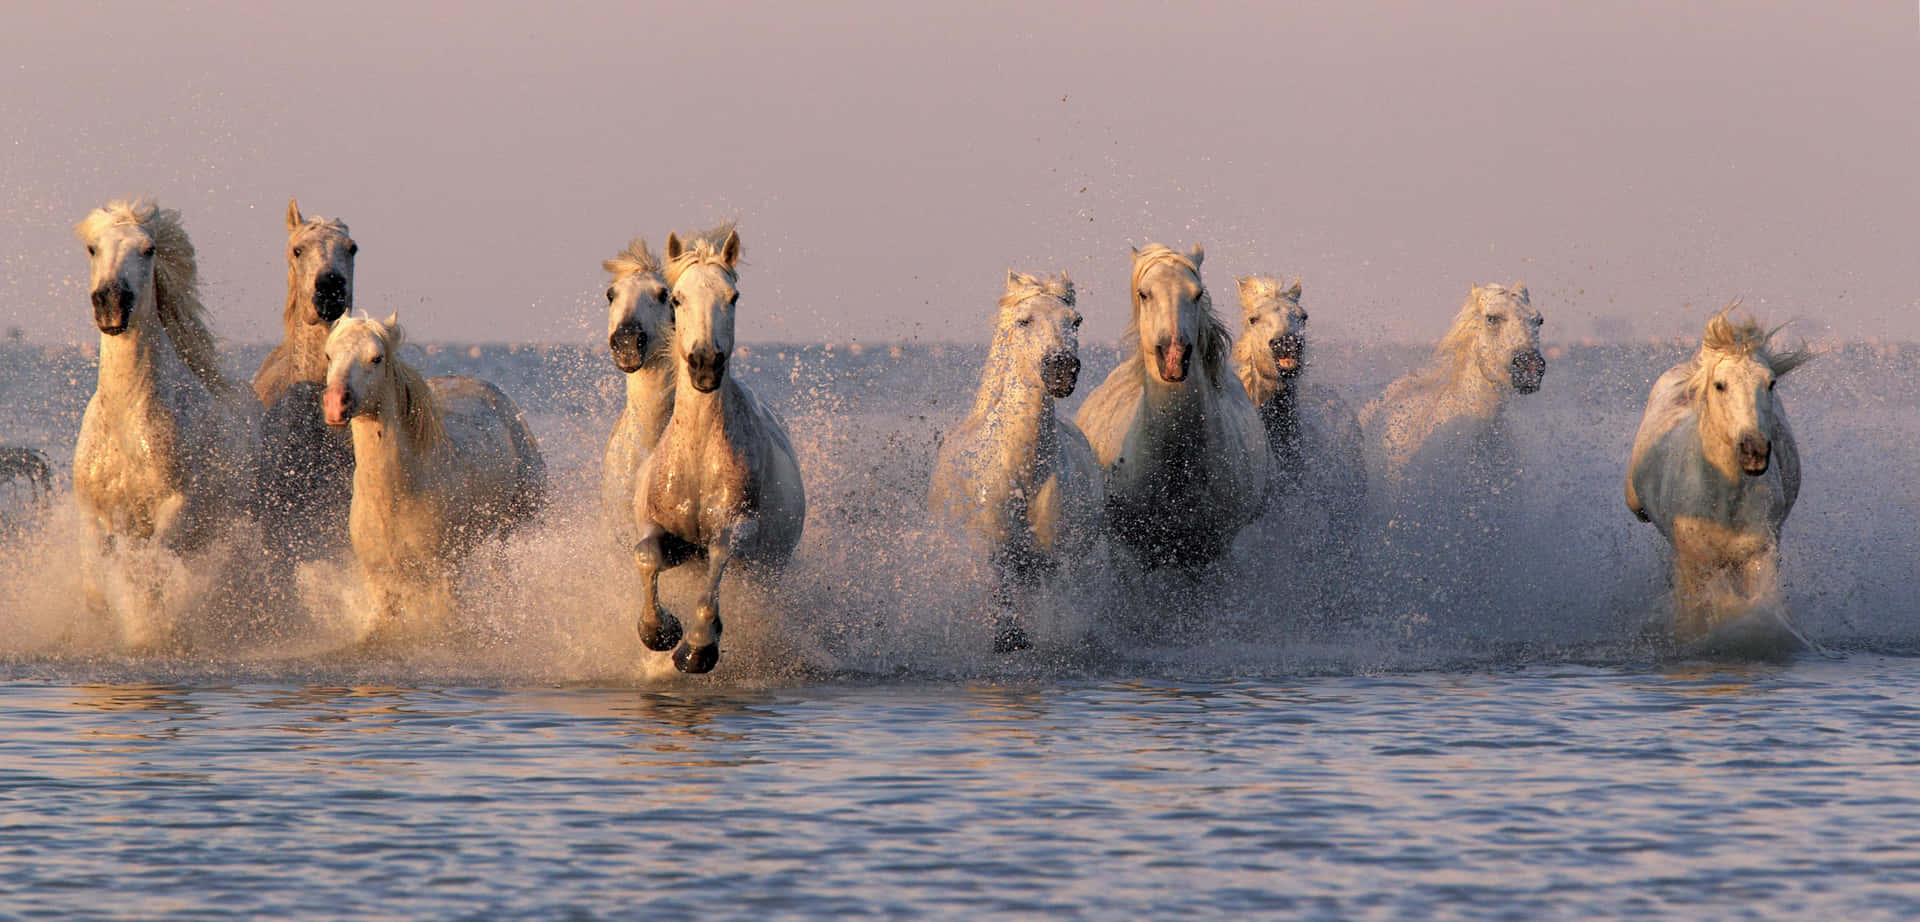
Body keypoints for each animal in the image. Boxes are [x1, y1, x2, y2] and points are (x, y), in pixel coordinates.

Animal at [72, 199, 259, 648]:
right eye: (92, 247)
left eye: (149, 249)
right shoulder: (94, 513)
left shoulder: (177, 509)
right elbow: (96, 580)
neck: (127, 421)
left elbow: (149, 573)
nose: (111, 304)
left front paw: (148, 633)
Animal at [322, 314, 546, 641]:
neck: (395, 496)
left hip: (517, 518)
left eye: (377, 358)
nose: (336, 403)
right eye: (328, 355)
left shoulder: (442, 573)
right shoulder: (380, 579)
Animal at [631, 227, 805, 674]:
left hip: (766, 569)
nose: (705, 364)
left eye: (733, 297)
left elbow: (720, 554)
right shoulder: (668, 537)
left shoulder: (737, 528)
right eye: (676, 299)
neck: (697, 454)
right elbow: (645, 555)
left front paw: (697, 647)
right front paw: (659, 630)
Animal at [928, 270, 1104, 652]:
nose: (1061, 369)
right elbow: (1005, 617)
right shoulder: (994, 554)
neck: (1022, 473)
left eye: (1076, 321)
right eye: (1024, 321)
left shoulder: (1055, 560)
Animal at [1626, 305, 1811, 650]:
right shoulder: (1694, 564)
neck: (1723, 502)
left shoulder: (1759, 553)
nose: (1754, 451)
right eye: (1720, 385)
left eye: (1771, 383)